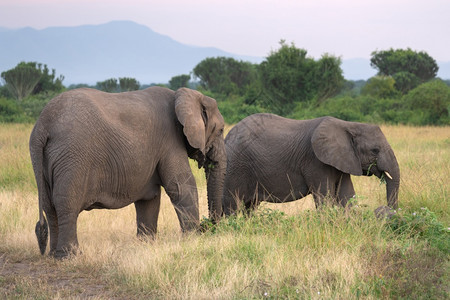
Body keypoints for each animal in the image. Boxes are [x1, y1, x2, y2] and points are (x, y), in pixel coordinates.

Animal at [30, 86, 227, 258]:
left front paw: (146, 246)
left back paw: (53, 255)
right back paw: (70, 256)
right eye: (221, 130)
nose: (208, 227)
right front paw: (193, 241)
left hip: (43, 159)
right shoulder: (170, 140)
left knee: (49, 205)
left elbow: (149, 198)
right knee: (67, 202)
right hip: (73, 155)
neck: (182, 95)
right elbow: (181, 186)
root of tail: (43, 124)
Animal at [220, 113, 400, 214]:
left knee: (250, 206)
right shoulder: (315, 162)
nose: (386, 210)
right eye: (375, 150)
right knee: (231, 206)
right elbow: (325, 197)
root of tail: (227, 136)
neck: (348, 125)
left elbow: (347, 195)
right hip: (236, 167)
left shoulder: (343, 160)